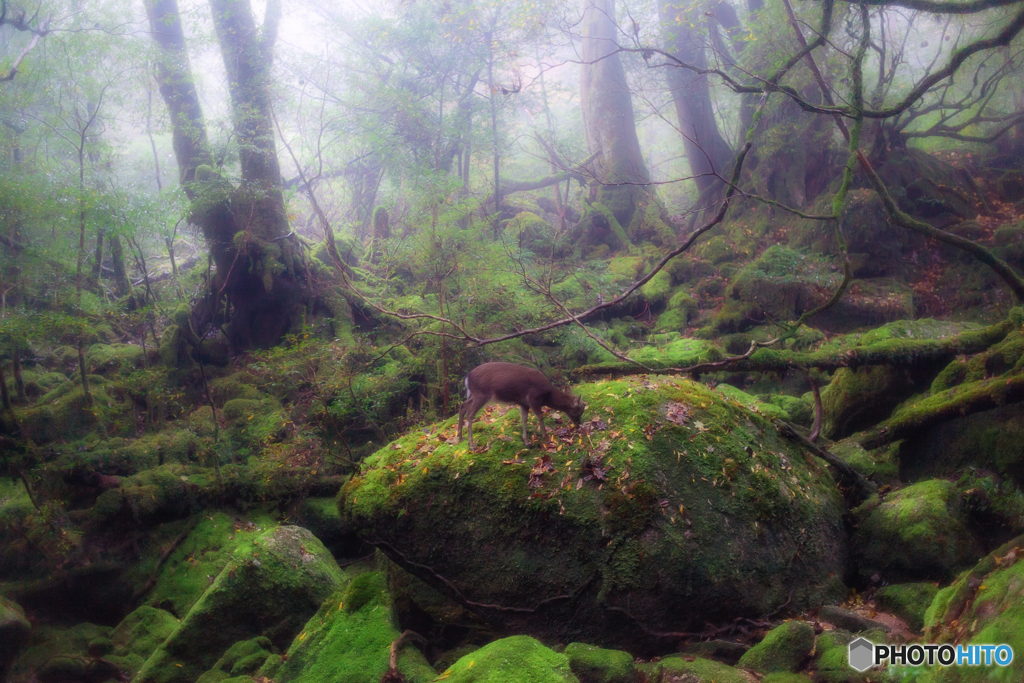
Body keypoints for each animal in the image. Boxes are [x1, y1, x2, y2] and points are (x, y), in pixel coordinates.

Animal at [456, 362, 586, 449]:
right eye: (577, 411)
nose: (579, 424)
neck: (547, 395)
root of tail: (467, 377)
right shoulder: (533, 398)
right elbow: (540, 416)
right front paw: (546, 438)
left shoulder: (524, 403)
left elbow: (524, 419)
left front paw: (527, 441)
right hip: (481, 394)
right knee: (470, 414)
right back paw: (471, 445)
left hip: (474, 395)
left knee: (462, 406)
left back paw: (460, 437)